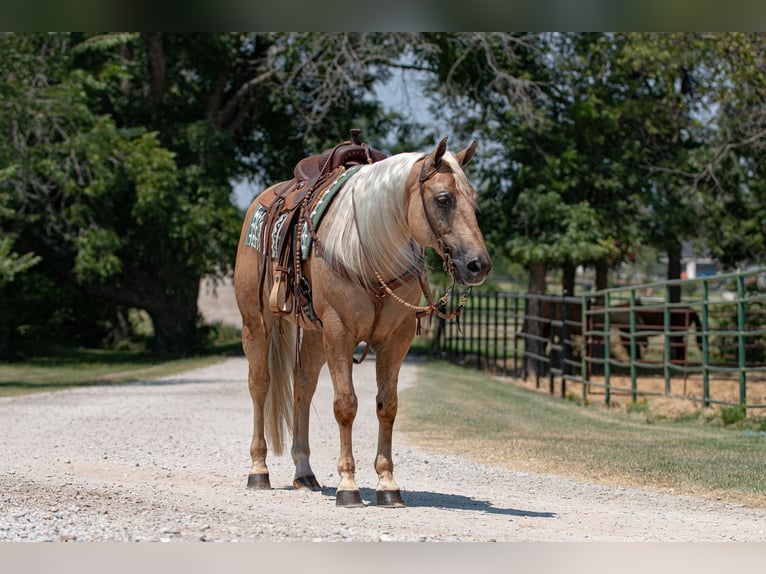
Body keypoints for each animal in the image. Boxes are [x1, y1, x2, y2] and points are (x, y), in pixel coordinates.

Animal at [232, 135, 492, 508]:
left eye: (474, 198)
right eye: (443, 199)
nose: (478, 265)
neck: (369, 251)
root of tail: (262, 200)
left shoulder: (395, 340)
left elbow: (387, 406)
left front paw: (387, 484)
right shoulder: (340, 333)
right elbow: (346, 405)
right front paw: (348, 485)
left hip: (315, 334)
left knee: (303, 386)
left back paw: (304, 473)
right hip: (257, 323)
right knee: (259, 384)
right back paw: (258, 470)